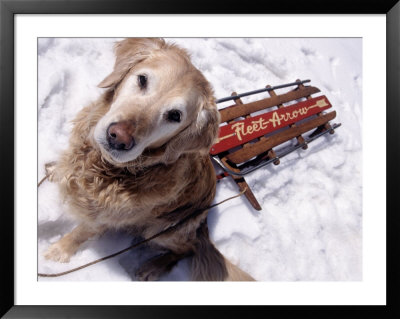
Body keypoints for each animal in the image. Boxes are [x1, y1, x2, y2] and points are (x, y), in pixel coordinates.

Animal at [43, 38, 255, 282]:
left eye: (175, 116)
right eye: (142, 80)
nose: (118, 138)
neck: (107, 167)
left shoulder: (101, 217)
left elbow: (80, 232)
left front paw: (58, 251)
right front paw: (55, 170)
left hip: (161, 230)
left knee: (187, 248)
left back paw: (152, 267)